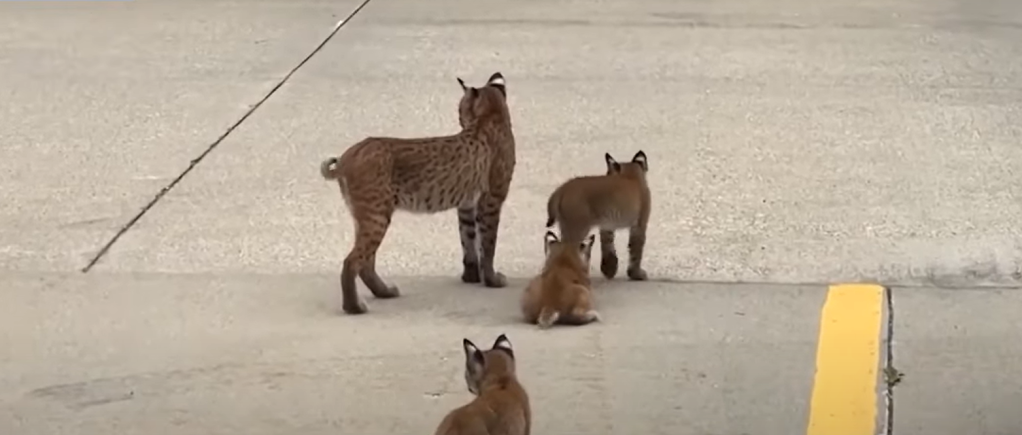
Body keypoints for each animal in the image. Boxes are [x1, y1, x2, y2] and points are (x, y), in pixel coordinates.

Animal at [320, 73, 519, 314]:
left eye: (460, 109)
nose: (460, 120)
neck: (492, 113)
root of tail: (350, 152)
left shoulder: (467, 204)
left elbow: (469, 239)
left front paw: (471, 276)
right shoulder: (492, 200)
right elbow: (488, 243)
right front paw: (492, 280)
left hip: (365, 215)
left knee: (365, 261)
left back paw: (384, 292)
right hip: (377, 214)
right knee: (352, 261)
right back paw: (354, 307)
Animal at [547, 151, 649, 281]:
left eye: (608, 172)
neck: (630, 174)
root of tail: (562, 188)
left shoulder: (607, 225)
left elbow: (607, 246)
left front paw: (609, 269)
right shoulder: (640, 223)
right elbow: (636, 249)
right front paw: (636, 274)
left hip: (566, 225)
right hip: (577, 227)